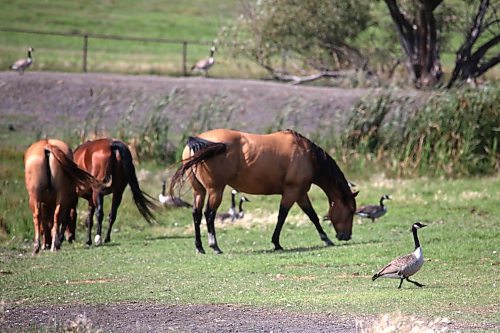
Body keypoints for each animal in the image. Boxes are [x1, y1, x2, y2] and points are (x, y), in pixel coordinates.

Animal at [170, 128, 358, 253]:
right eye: (350, 211)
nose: (346, 235)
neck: (307, 154)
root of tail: (198, 141)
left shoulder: (300, 193)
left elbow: (312, 216)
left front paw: (326, 239)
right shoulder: (291, 192)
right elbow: (282, 217)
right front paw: (277, 243)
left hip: (199, 191)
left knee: (196, 214)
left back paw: (200, 247)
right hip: (216, 190)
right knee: (209, 215)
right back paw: (214, 246)